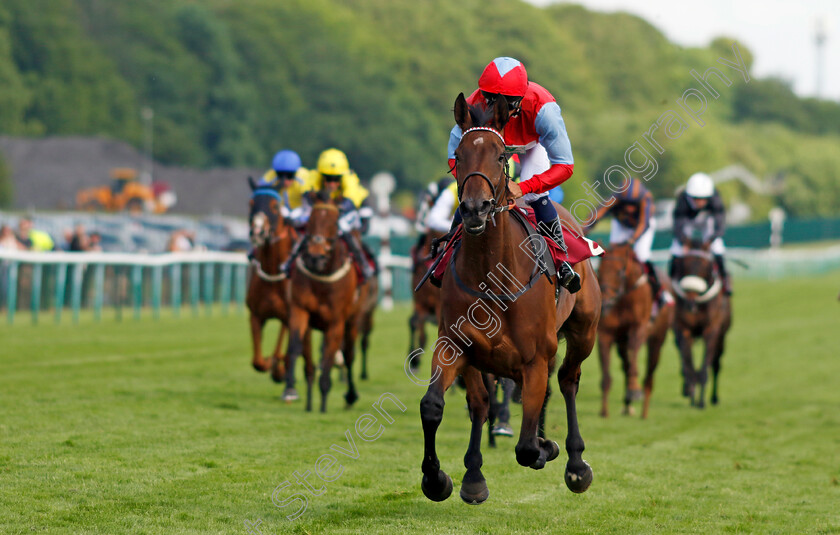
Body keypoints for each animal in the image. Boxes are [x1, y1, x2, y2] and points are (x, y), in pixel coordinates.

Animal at [280, 201, 376, 414]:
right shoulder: (300, 311)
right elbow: (296, 347)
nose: (315, 257)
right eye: (309, 223)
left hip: (353, 320)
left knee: (349, 356)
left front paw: (323, 403)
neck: (322, 279)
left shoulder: (336, 322)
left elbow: (331, 358)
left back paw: (350, 395)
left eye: (334, 224)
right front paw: (290, 390)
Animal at [416, 94, 600, 504]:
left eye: (501, 155)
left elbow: (527, 447)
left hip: (584, 332)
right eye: (458, 154)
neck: (491, 274)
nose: (474, 208)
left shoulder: (535, 359)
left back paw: (575, 463)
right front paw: (441, 478)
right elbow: (436, 405)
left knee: (567, 380)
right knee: (485, 402)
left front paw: (547, 447)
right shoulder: (456, 345)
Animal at [596, 245, 676, 420]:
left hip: (657, 340)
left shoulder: (638, 328)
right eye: (599, 270)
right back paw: (627, 405)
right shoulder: (605, 334)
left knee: (649, 376)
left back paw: (644, 411)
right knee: (625, 364)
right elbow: (606, 375)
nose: (604, 303)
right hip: (621, 343)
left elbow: (634, 358)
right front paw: (604, 411)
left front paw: (634, 390)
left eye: (620, 272)